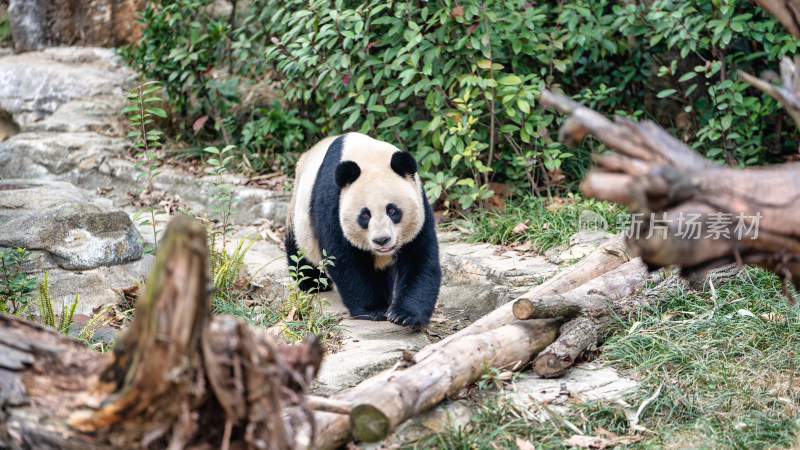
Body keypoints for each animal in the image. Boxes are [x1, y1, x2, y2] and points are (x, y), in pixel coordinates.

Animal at [284, 132, 440, 326]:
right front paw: (374, 309)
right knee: (299, 252)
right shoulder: (334, 201)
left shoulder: (420, 203)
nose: (382, 240)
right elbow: (346, 260)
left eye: (392, 210)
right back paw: (314, 284)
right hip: (300, 213)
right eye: (365, 215)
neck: (369, 157)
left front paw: (403, 314)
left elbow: (419, 259)